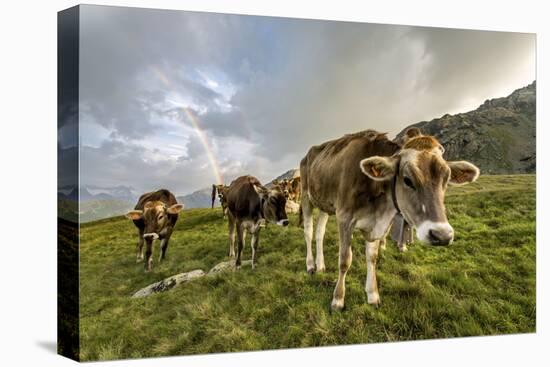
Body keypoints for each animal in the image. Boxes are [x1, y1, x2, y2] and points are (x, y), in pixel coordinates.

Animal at [302, 129, 478, 310]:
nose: (442, 235)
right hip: (306, 197)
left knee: (319, 233)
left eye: (446, 180)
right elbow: (344, 260)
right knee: (308, 232)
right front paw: (338, 300)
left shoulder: (377, 224)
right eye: (407, 180)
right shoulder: (344, 217)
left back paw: (320, 265)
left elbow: (372, 257)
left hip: (324, 205)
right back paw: (310, 265)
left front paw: (372, 295)